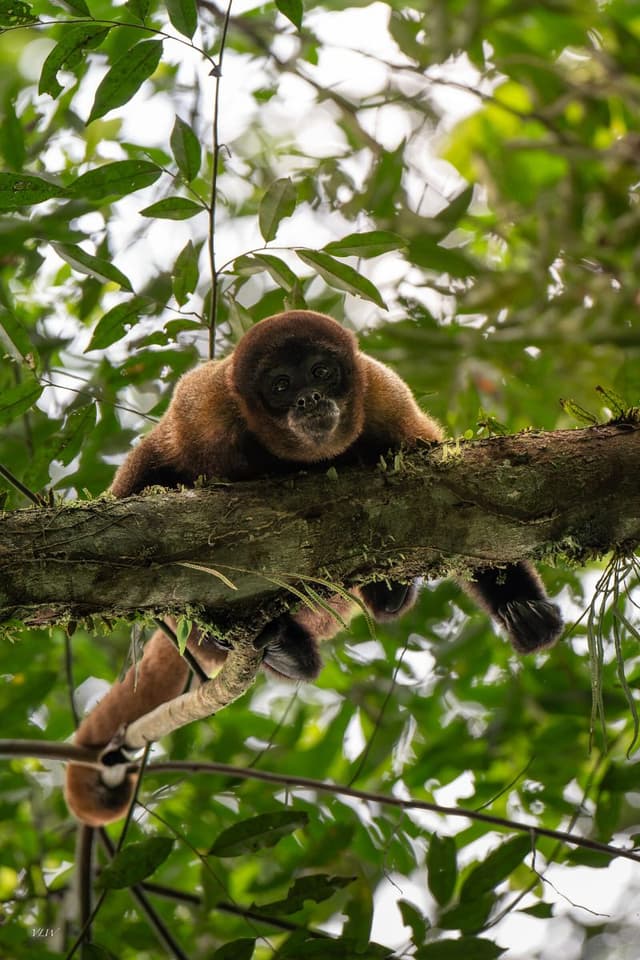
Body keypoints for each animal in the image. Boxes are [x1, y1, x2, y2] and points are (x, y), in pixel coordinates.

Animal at [65, 309, 562, 825]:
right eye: (281, 385)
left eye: (322, 371)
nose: (309, 398)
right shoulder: (202, 411)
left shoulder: (385, 397)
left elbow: (462, 511)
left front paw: (519, 605)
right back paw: (271, 642)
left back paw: (375, 600)